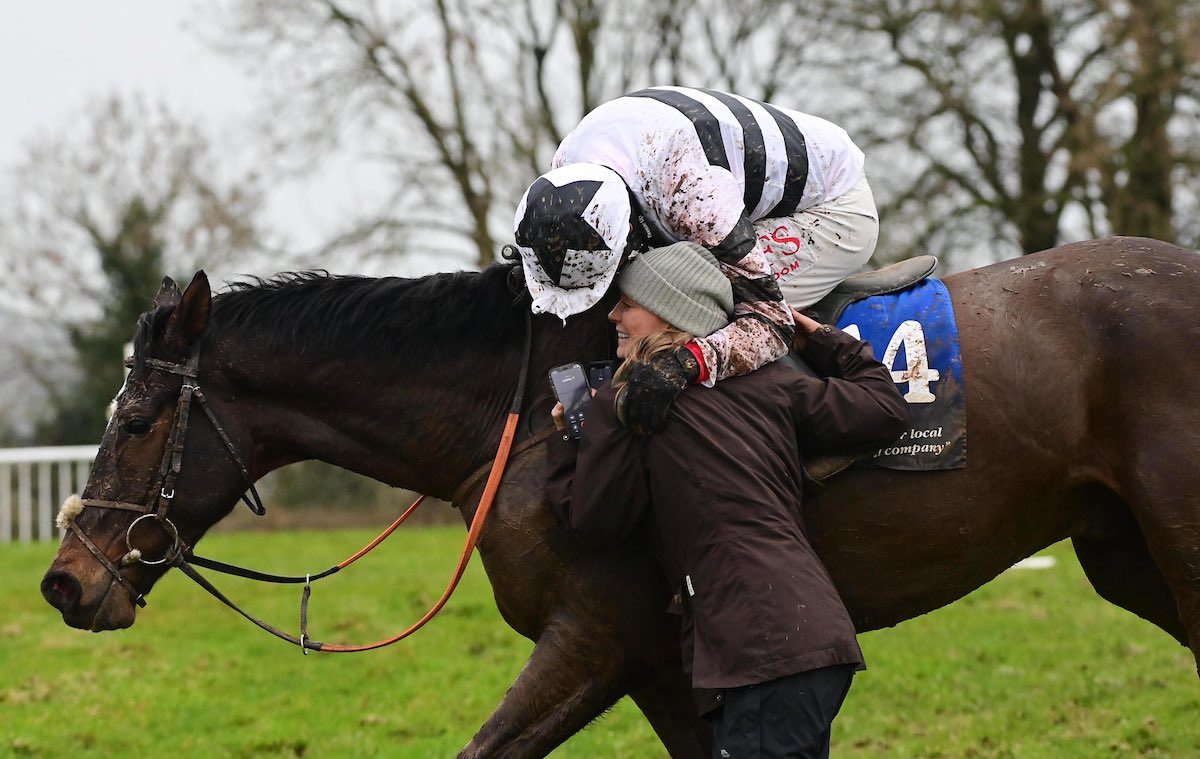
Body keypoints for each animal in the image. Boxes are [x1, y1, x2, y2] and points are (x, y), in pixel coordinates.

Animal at [39, 235, 1200, 754]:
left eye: (136, 421)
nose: (64, 581)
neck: (522, 410)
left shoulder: (594, 636)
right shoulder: (663, 664)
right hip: (1125, 553)